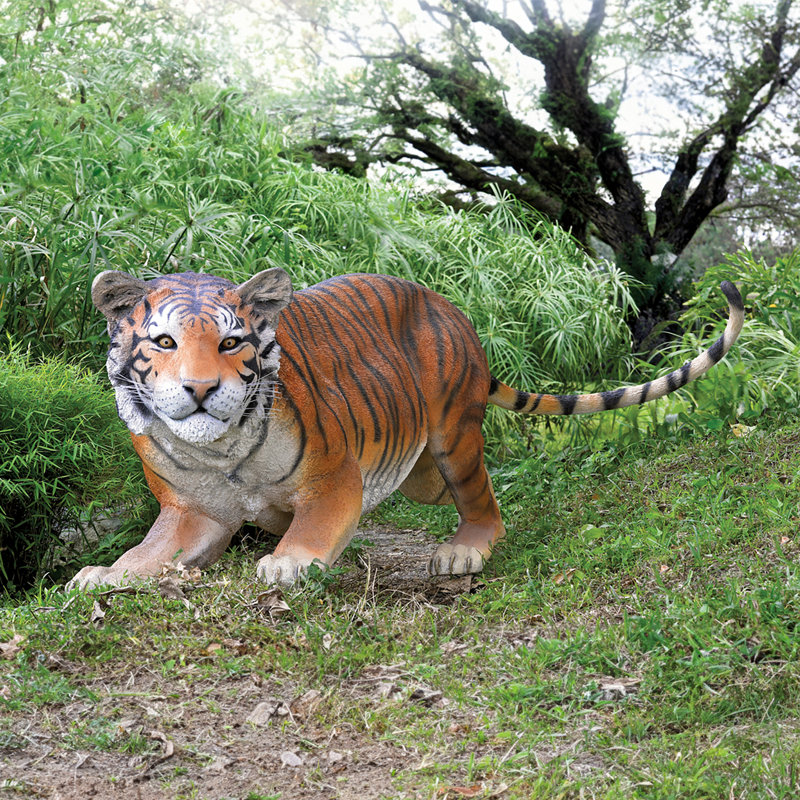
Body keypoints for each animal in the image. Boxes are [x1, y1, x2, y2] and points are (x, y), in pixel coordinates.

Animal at [68, 269, 744, 590]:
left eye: (232, 343)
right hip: (419, 472)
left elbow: (314, 527)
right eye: (164, 342)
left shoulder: (333, 478)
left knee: (484, 500)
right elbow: (151, 552)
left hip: (452, 439)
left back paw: (464, 550)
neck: (219, 453)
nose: (202, 389)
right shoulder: (192, 511)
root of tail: (460, 318)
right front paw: (106, 574)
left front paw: (288, 564)